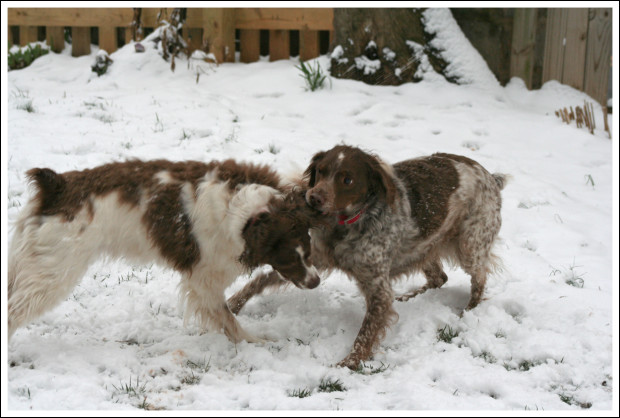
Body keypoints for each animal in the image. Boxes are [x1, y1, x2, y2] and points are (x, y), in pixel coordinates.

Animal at [7, 158, 322, 344]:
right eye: (287, 257)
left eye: (308, 249)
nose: (316, 281)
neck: (245, 210)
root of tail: (56, 185)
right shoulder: (205, 279)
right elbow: (228, 319)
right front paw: (255, 343)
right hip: (53, 272)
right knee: (11, 313)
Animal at [230, 146, 506, 370]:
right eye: (320, 171)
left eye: (347, 179)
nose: (313, 198)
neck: (348, 225)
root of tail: (491, 176)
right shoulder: (315, 260)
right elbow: (261, 279)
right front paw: (234, 304)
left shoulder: (378, 289)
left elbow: (366, 331)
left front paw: (349, 363)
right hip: (423, 248)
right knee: (440, 277)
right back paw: (409, 296)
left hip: (470, 245)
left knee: (479, 278)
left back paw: (468, 310)